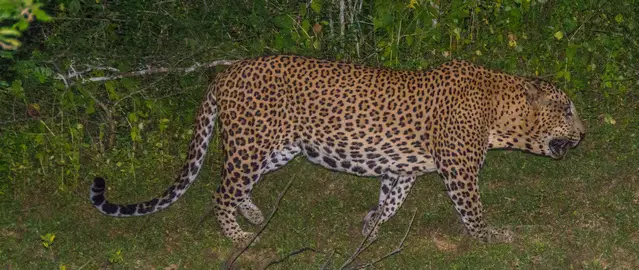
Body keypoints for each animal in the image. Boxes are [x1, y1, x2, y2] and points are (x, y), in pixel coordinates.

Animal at [90, 54, 584, 245]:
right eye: (567, 110)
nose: (584, 134)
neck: (500, 112)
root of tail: (225, 72)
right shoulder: (460, 173)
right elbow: (474, 212)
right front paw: (491, 237)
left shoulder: (401, 170)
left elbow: (389, 202)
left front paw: (369, 226)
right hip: (251, 145)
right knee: (219, 192)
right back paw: (239, 236)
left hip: (276, 148)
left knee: (234, 186)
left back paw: (253, 214)